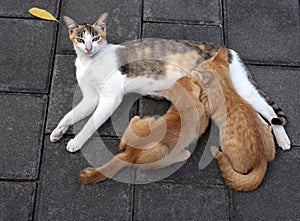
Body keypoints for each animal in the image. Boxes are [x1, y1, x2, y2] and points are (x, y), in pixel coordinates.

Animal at [49, 12, 290, 152]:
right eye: (81, 39)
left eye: (96, 37)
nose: (89, 47)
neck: (89, 62)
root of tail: (229, 51)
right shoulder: (91, 98)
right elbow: (70, 115)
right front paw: (58, 130)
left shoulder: (110, 97)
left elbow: (90, 124)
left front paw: (76, 141)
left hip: (240, 88)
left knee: (269, 111)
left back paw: (283, 139)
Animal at [79, 75, 211, 184]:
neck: (185, 102)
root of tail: (130, 153)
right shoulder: (202, 124)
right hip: (161, 149)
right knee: (161, 163)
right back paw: (183, 154)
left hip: (150, 119)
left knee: (122, 143)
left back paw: (134, 119)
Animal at [193, 45, 276, 191]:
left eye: (200, 66)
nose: (196, 66)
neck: (226, 87)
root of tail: (262, 160)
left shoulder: (209, 105)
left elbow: (203, 94)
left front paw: (194, 75)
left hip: (226, 143)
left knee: (237, 169)